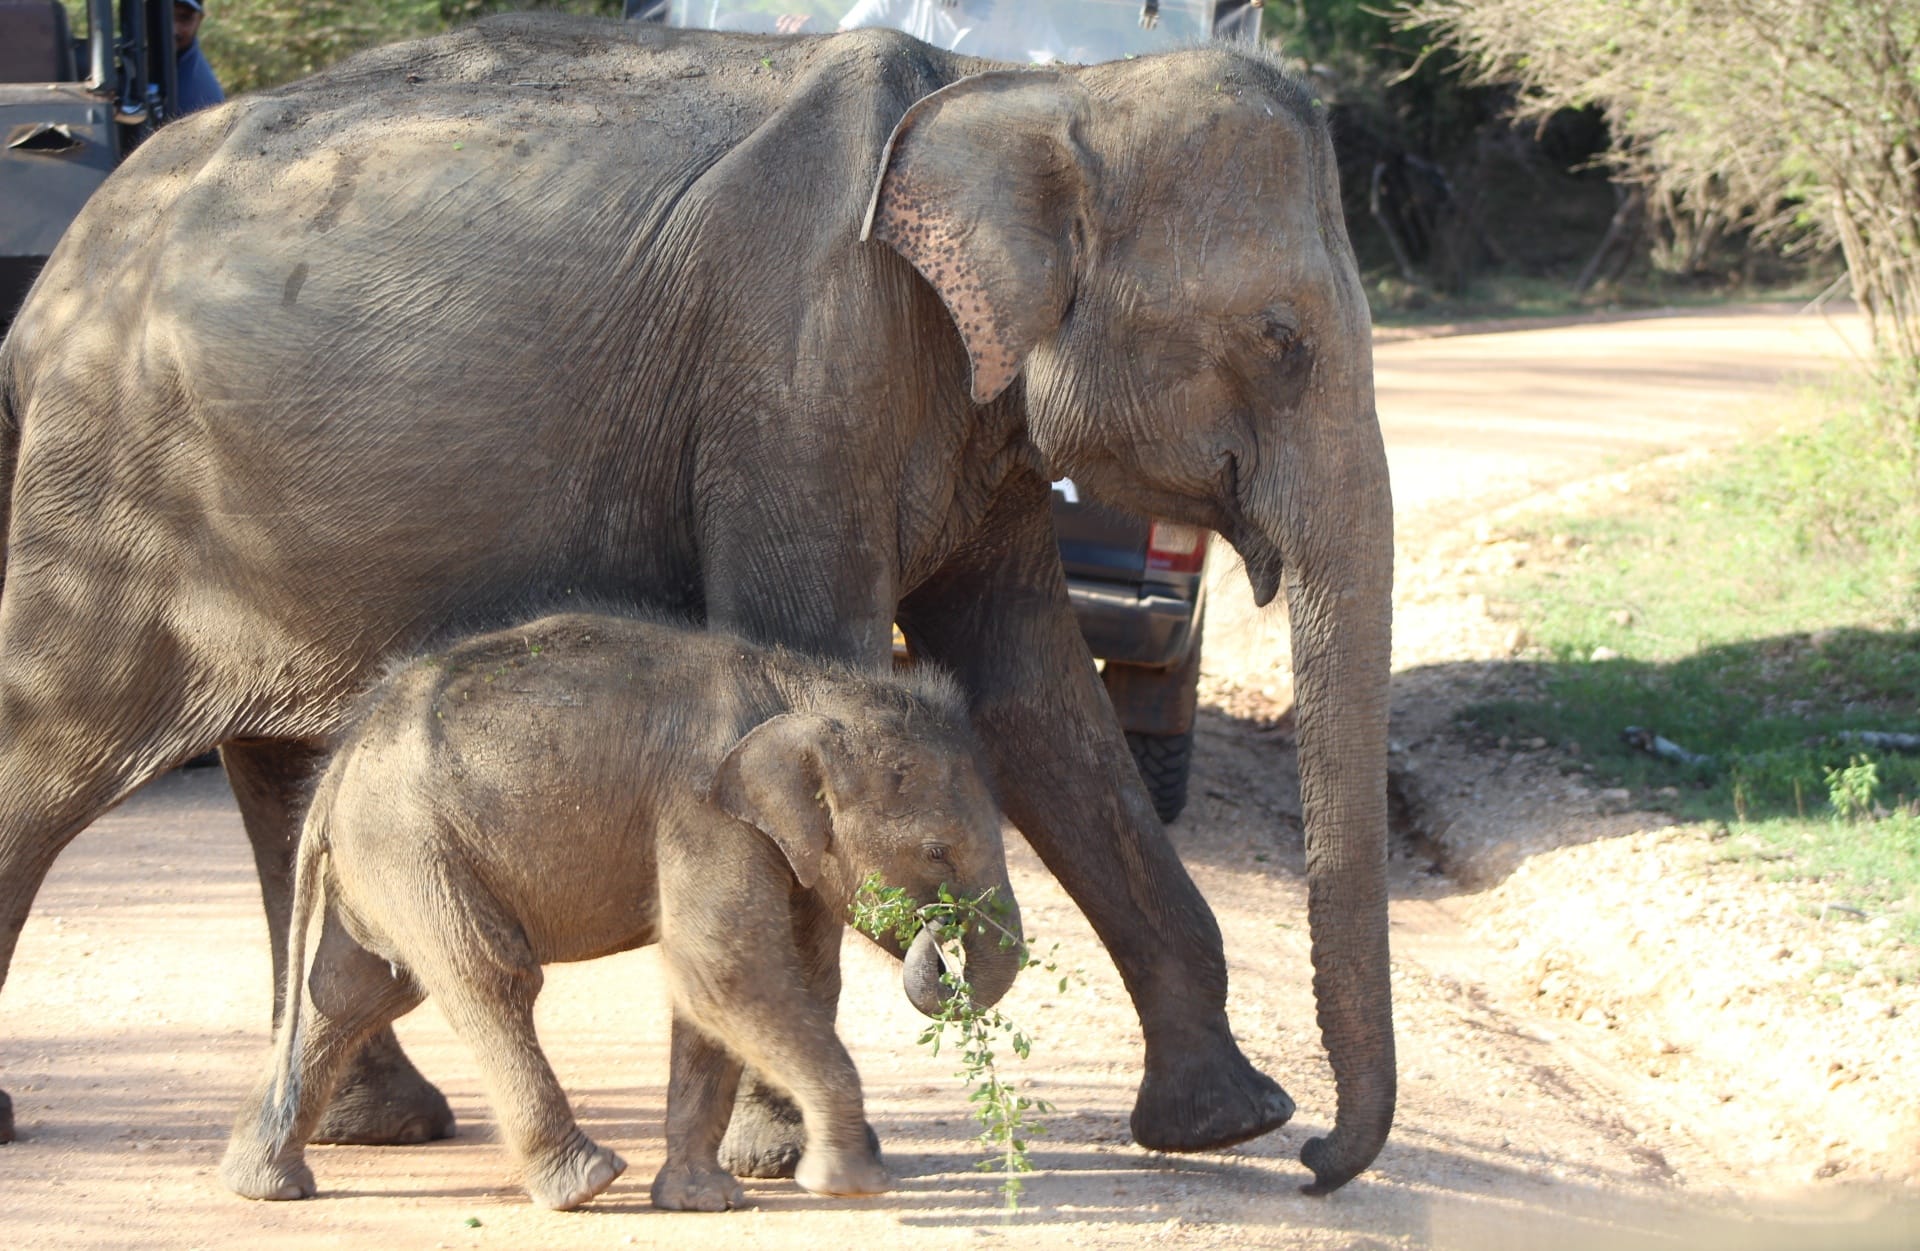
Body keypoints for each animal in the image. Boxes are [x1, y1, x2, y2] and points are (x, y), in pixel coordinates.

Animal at [219, 610, 1029, 1204]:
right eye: (936, 852)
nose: (937, 938)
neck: (805, 691)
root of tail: (335, 768)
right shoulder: (702, 810)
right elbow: (723, 972)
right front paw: (849, 1184)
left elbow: (715, 994)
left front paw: (703, 1202)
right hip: (412, 846)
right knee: (486, 976)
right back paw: (584, 1183)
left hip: (385, 862)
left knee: (351, 993)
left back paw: (264, 1187)